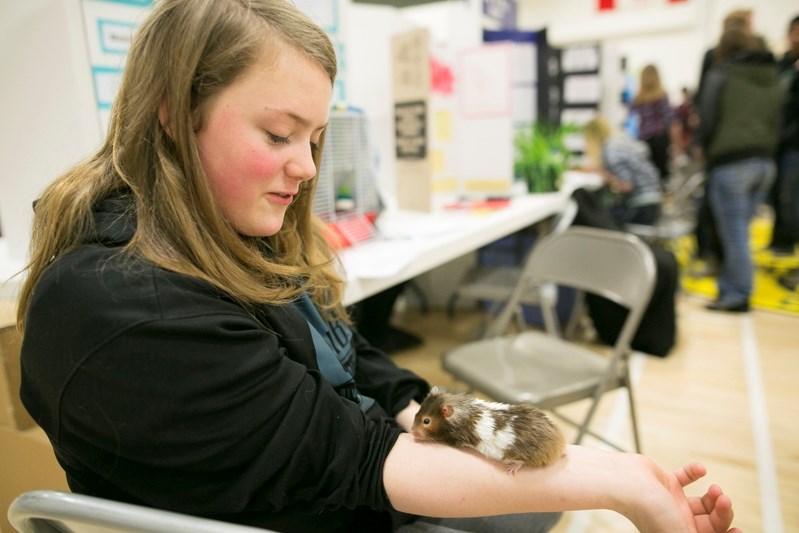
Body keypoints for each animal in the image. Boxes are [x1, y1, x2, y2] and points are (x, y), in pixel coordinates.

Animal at [416, 384, 564, 472]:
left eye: (426, 421)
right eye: (417, 413)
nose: (413, 432)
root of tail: (558, 446)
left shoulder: (457, 440)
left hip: (517, 455)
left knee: (521, 462)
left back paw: (511, 469)